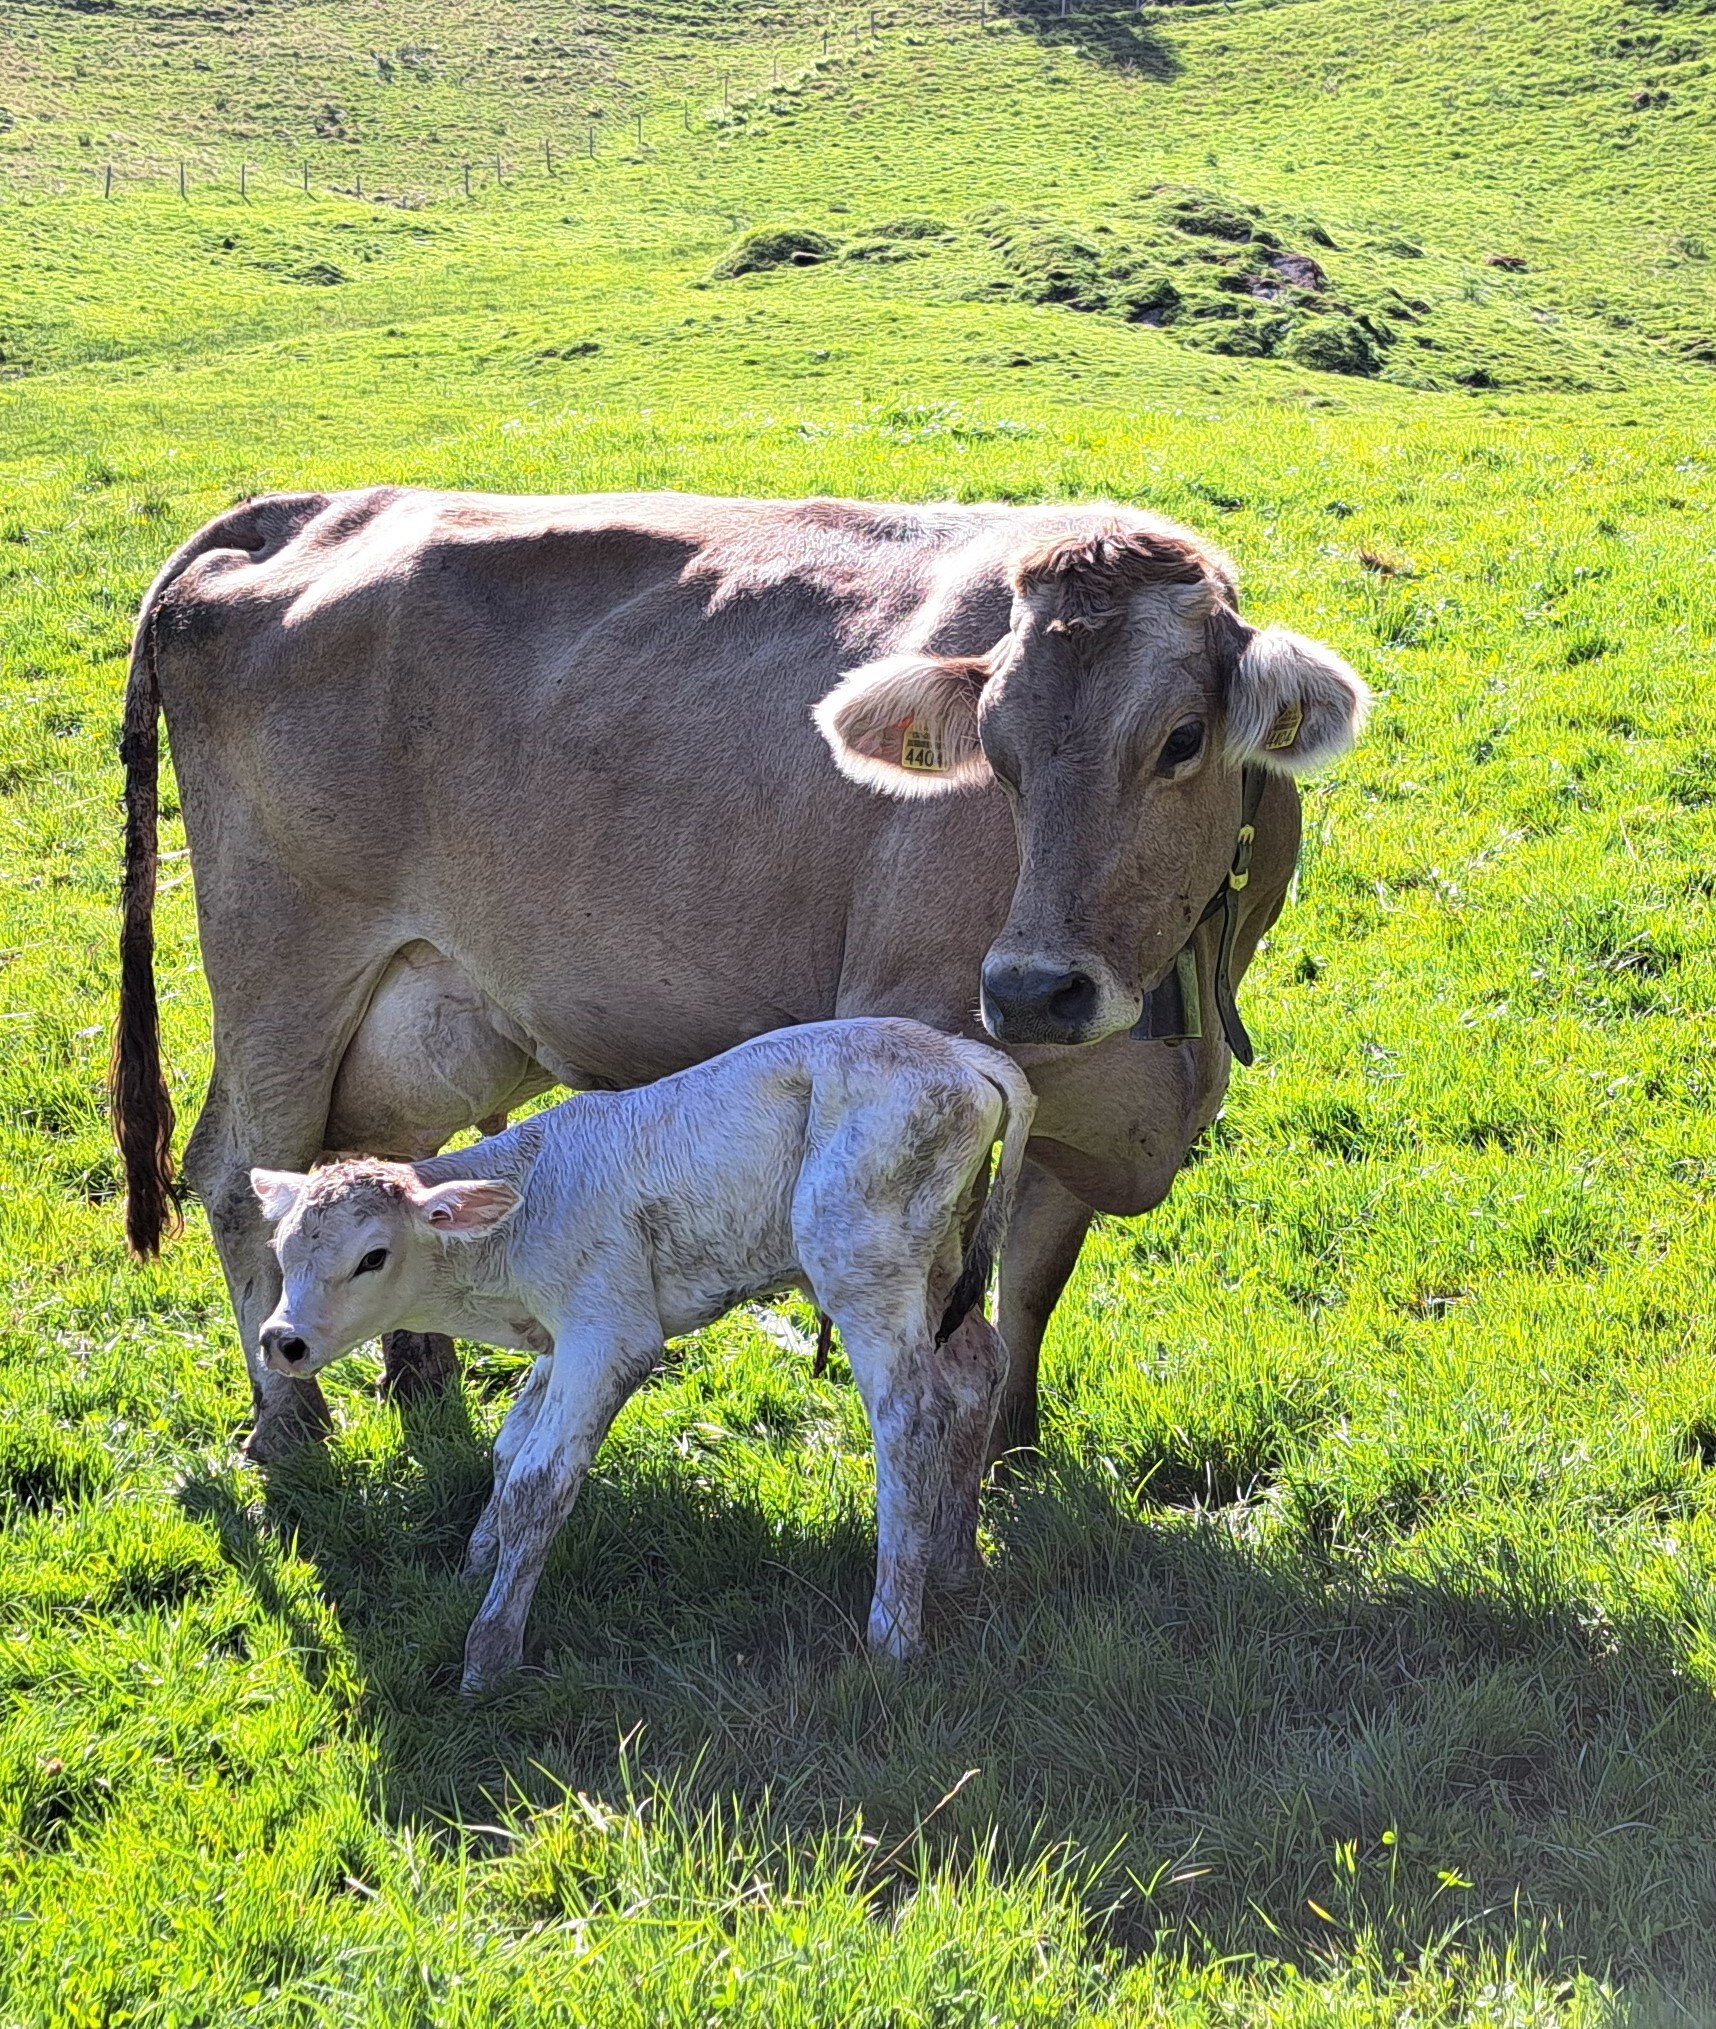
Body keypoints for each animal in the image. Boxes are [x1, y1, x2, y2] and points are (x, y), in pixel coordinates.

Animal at [110, 488, 1367, 1463]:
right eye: (997, 758)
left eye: (1183, 739)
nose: (1029, 993)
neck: (1158, 1047)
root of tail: (313, 506)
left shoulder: (1072, 1128)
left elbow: (1031, 1295)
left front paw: (1015, 1460)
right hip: (280, 957)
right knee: (238, 1170)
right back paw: (290, 1419)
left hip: (426, 1004)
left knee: (381, 1151)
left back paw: (413, 1364)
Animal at [249, 1017, 1036, 1691]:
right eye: (281, 1248)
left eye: (372, 1256)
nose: (281, 1340)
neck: (525, 1208)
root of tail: (954, 1050)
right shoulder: (561, 1338)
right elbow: (507, 1451)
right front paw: (474, 1566)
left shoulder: (610, 1336)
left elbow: (539, 1483)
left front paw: (489, 1651)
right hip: (940, 1262)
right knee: (978, 1370)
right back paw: (956, 1563)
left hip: (862, 1262)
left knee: (909, 1417)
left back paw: (894, 1633)